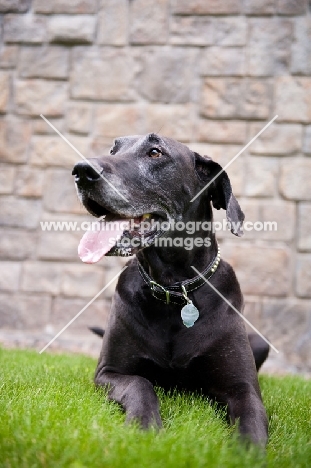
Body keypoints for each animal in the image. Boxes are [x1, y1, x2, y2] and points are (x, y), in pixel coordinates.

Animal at [72, 133, 270, 444]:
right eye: (113, 149)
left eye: (155, 152)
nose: (81, 170)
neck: (174, 289)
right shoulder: (109, 372)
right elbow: (140, 384)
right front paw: (144, 427)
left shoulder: (243, 387)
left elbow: (251, 424)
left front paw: (247, 450)